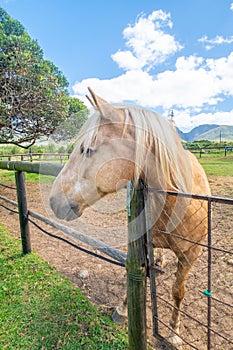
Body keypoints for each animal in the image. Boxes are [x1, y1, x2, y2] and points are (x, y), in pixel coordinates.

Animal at [50, 87, 210, 348]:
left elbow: (178, 291)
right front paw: (123, 310)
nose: (53, 201)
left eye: (87, 149)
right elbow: (133, 274)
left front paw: (174, 334)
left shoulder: (190, 255)